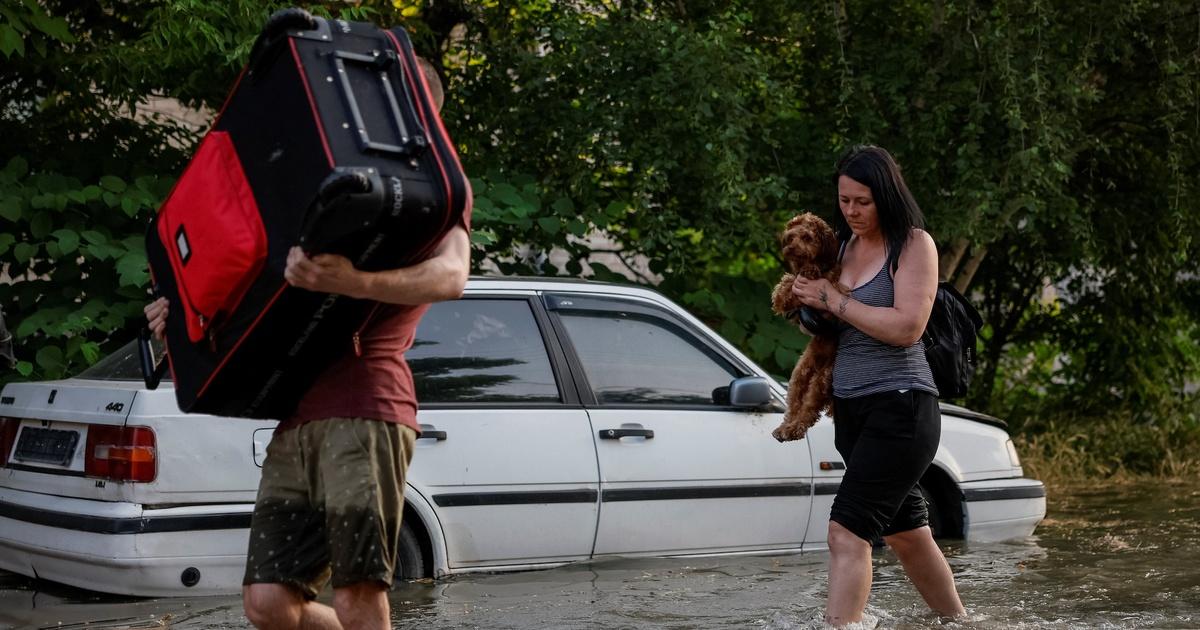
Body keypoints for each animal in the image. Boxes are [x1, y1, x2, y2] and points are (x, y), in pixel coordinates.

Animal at [768, 213, 844, 439]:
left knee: (809, 410)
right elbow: (785, 286)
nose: (790, 247)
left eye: (807, 237)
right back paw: (785, 428)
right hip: (801, 372)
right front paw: (786, 292)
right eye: (791, 236)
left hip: (823, 379)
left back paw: (794, 429)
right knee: (794, 404)